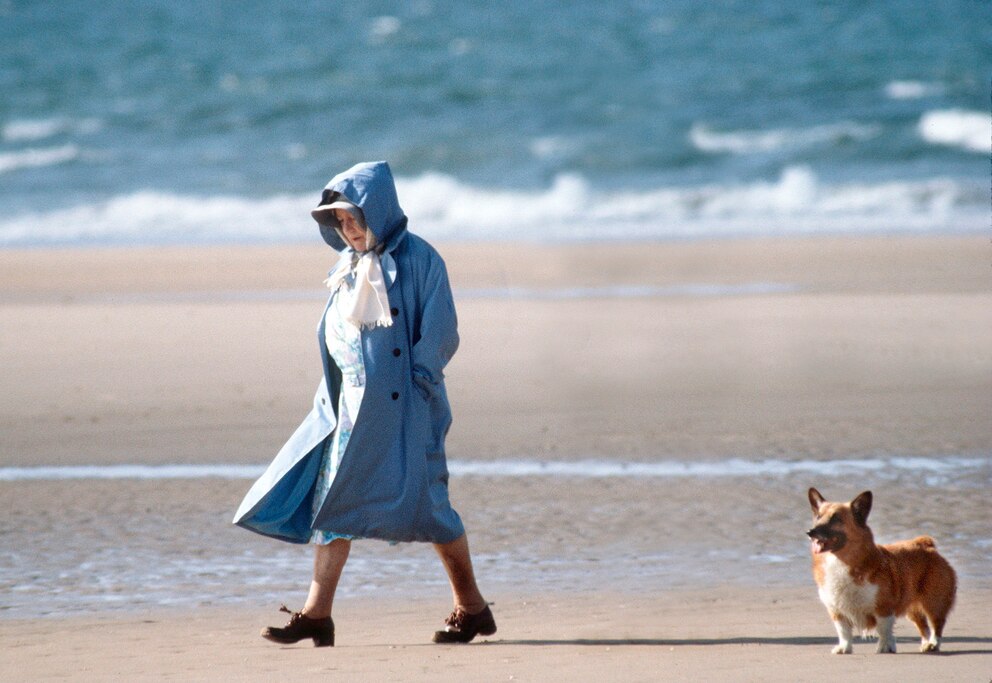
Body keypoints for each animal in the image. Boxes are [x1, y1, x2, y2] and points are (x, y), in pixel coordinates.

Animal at [808, 488, 956, 656]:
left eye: (836, 518)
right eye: (818, 517)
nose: (810, 532)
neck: (839, 561)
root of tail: (927, 545)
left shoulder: (883, 608)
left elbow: (883, 629)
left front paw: (885, 647)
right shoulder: (837, 611)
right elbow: (843, 631)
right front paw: (844, 648)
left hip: (934, 602)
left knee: (937, 624)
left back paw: (934, 644)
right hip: (913, 608)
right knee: (923, 626)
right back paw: (926, 645)